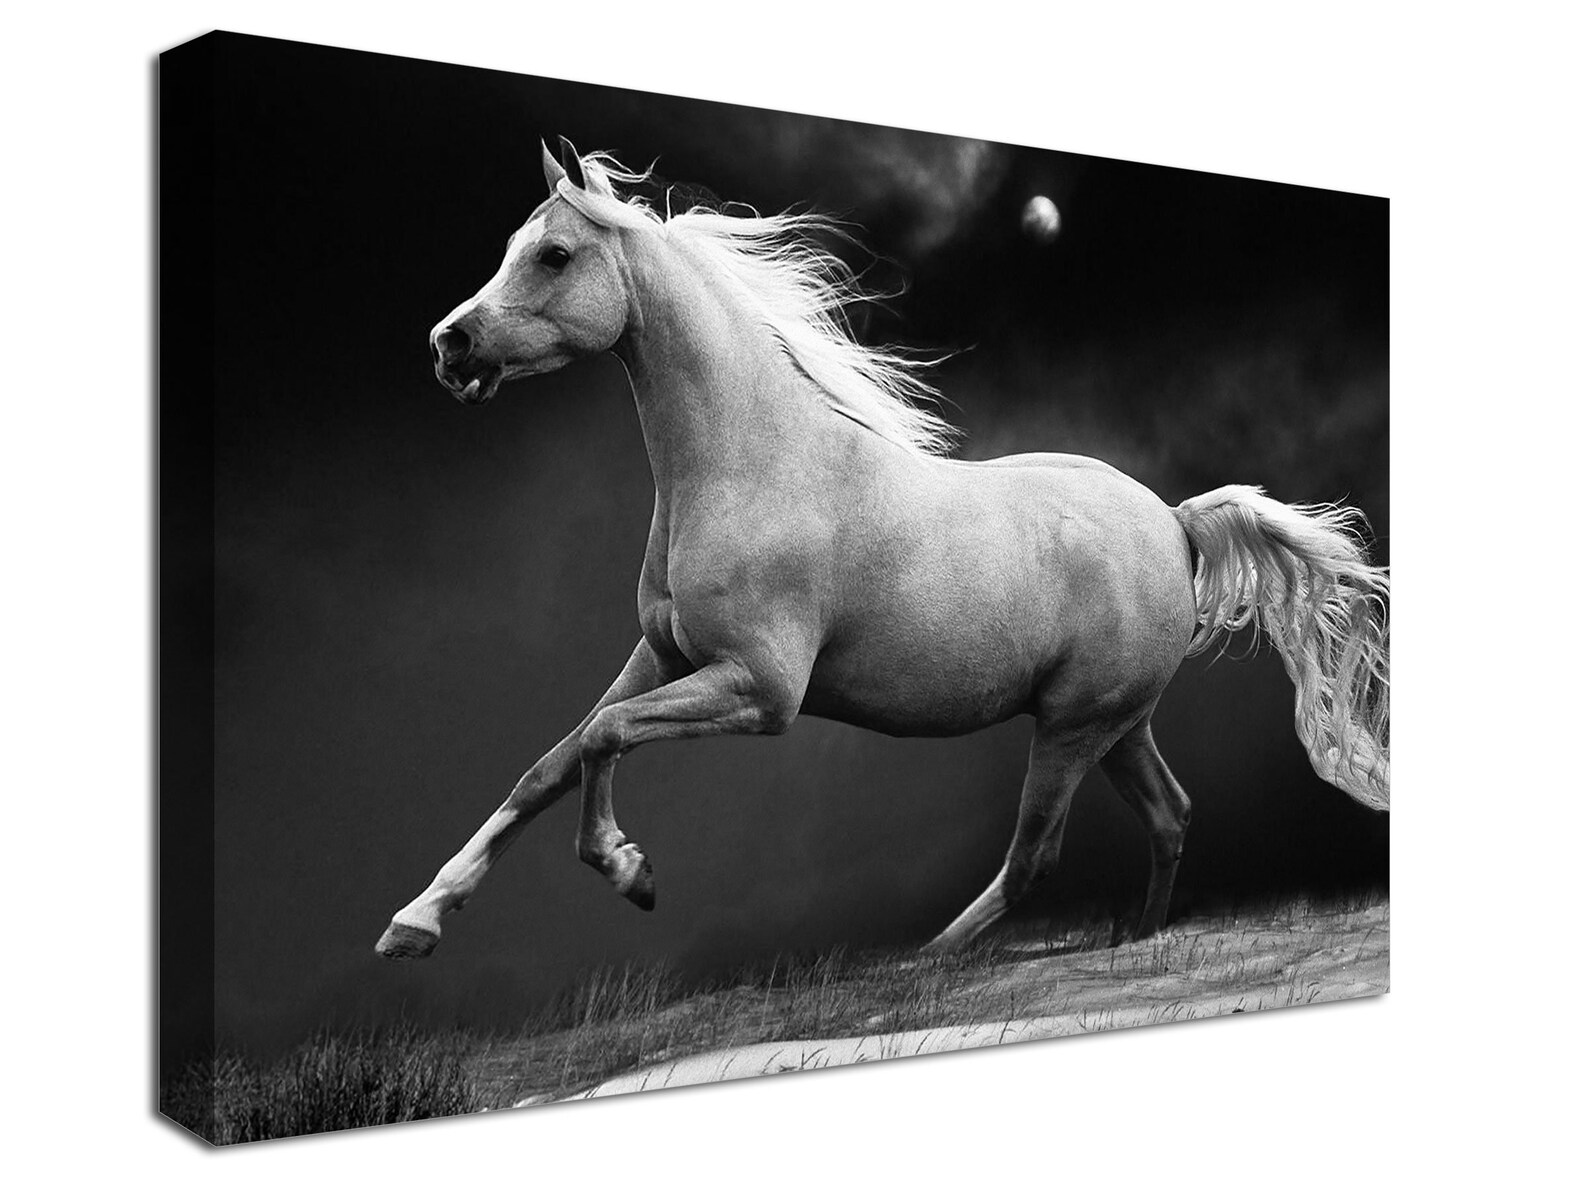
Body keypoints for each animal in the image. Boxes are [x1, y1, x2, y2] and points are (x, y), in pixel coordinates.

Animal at [375, 138, 1389, 961]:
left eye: (553, 254)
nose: (447, 344)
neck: (757, 465)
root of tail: (1176, 523)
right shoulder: (662, 655)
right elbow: (552, 759)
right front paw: (414, 921)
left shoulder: (761, 689)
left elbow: (604, 736)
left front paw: (631, 871)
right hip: (1115, 723)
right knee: (1170, 816)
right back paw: (1134, 938)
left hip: (1072, 727)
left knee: (1036, 857)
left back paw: (924, 960)